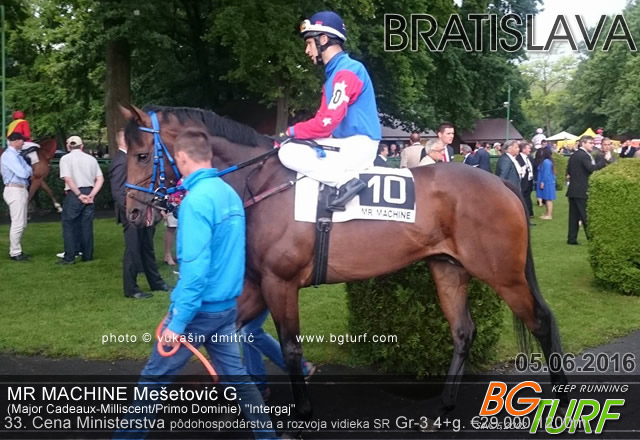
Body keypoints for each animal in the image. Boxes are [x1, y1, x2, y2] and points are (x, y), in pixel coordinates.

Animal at [121, 104, 569, 423]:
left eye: (141, 155)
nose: (131, 212)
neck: (261, 184)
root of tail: (503, 182)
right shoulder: (256, 285)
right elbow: (208, 335)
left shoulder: (280, 283)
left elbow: (291, 347)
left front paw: (302, 411)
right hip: (447, 268)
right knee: (463, 330)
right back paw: (445, 404)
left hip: (503, 274)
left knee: (542, 320)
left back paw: (563, 402)